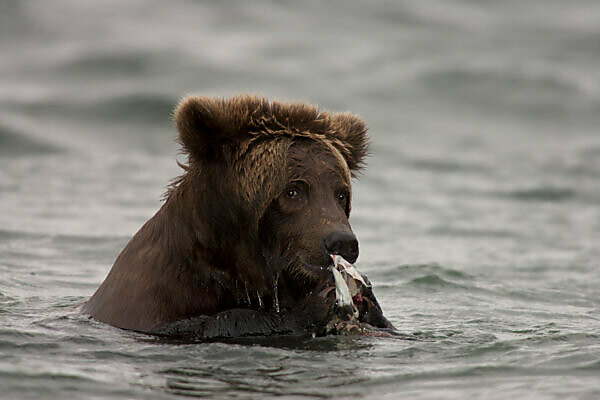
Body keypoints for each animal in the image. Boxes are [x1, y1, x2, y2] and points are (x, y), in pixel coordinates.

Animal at [84, 94, 394, 338]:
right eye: (293, 191)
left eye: (340, 194)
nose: (342, 241)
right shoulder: (156, 301)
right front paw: (319, 303)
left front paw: (367, 299)